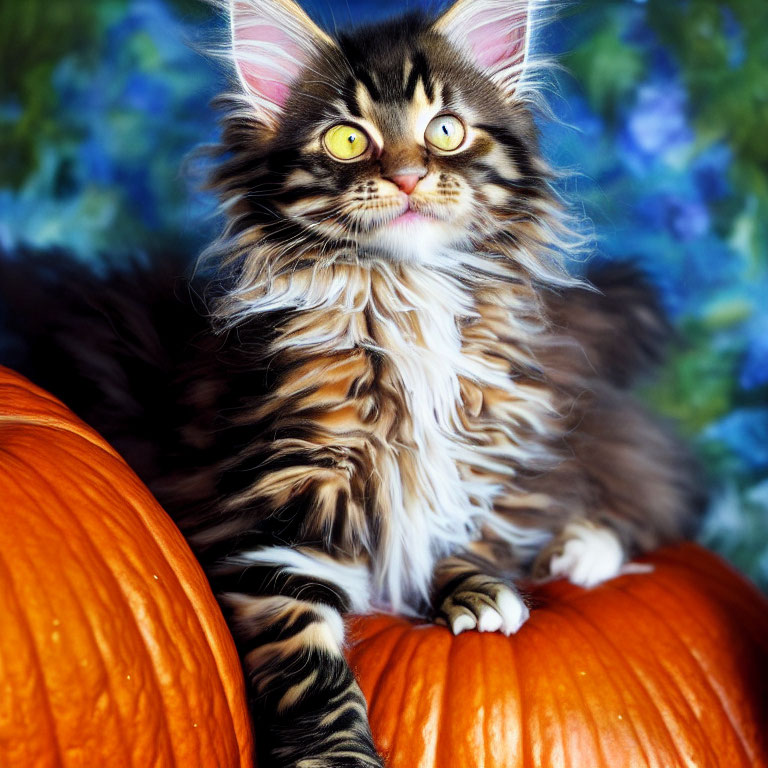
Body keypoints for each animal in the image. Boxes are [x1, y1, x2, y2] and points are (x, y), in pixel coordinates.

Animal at [0, 1, 704, 768]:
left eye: (445, 130)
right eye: (347, 139)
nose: (407, 177)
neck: (406, 300)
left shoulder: (476, 456)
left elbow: (464, 535)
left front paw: (482, 589)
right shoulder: (269, 532)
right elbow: (315, 675)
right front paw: (341, 758)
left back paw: (578, 553)